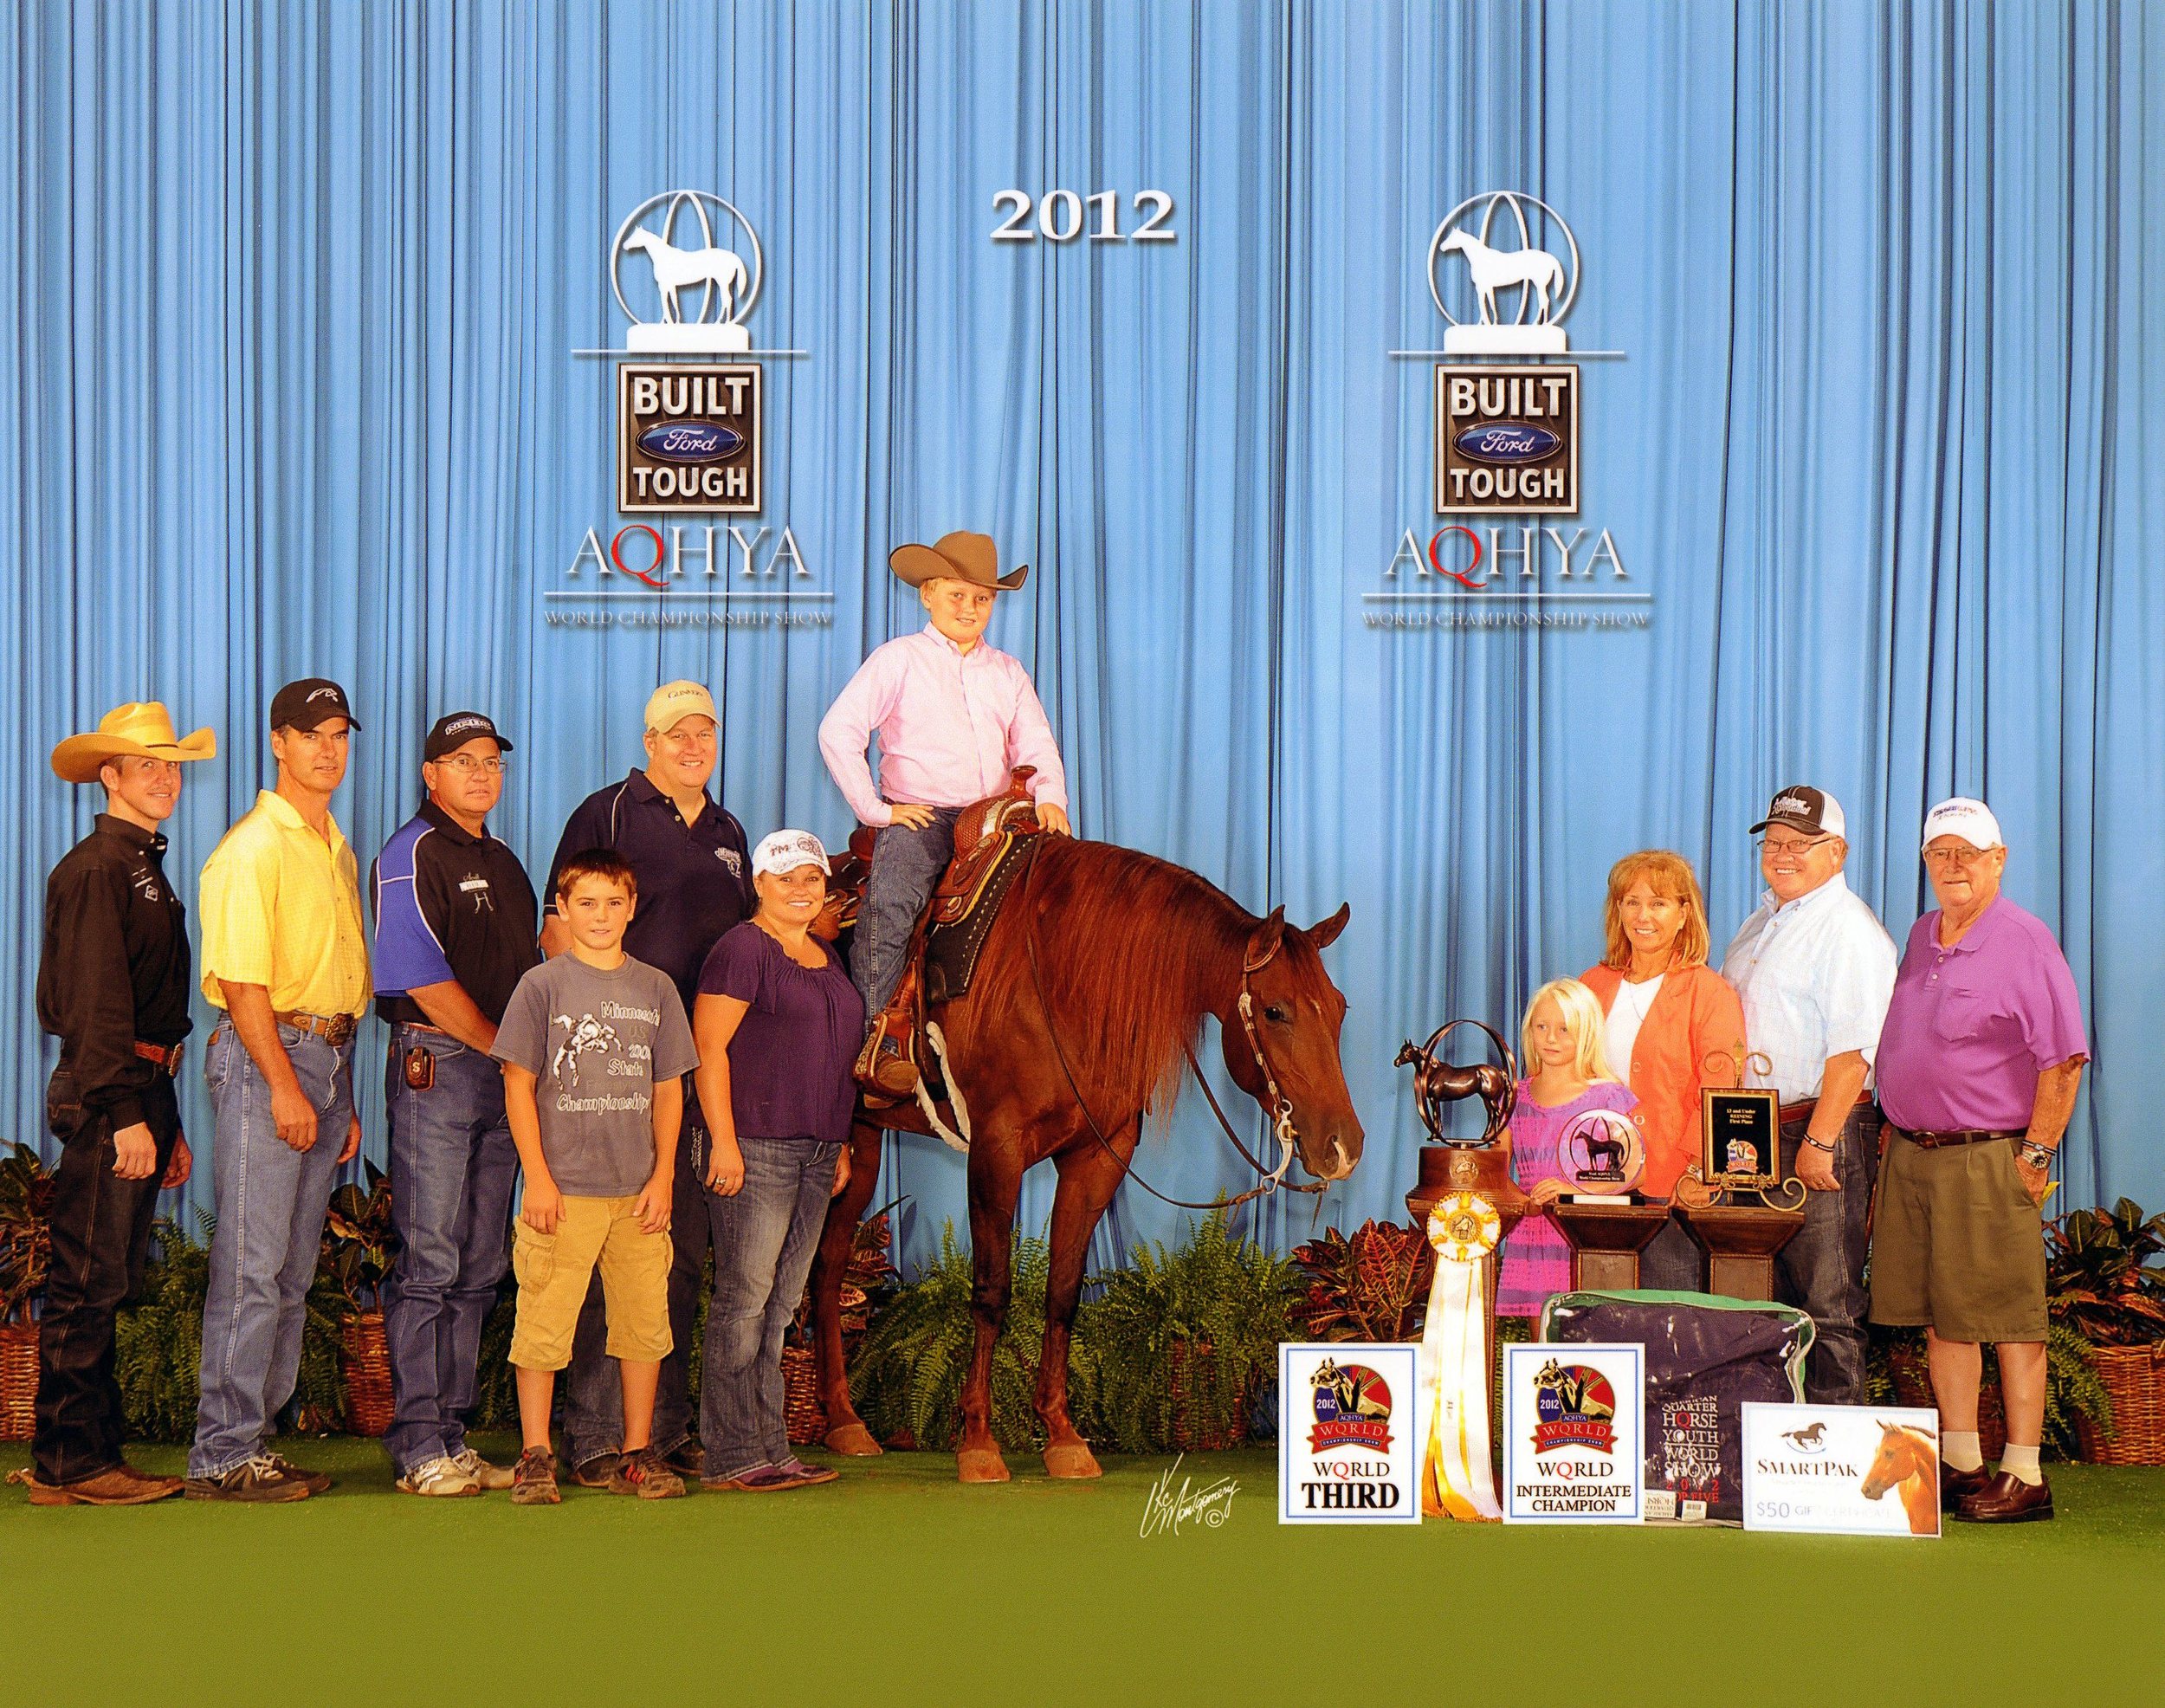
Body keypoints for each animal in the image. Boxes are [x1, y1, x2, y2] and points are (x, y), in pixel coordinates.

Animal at [805, 831, 1360, 1472]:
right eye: (1275, 1011)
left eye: (1340, 1007)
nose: (1344, 1145)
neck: (1056, 979)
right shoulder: (995, 1150)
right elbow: (991, 1291)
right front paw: (978, 1441)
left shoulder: (1096, 1157)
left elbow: (1064, 1291)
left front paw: (1063, 1435)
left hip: (860, 1146)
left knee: (828, 1266)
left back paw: (845, 1422)